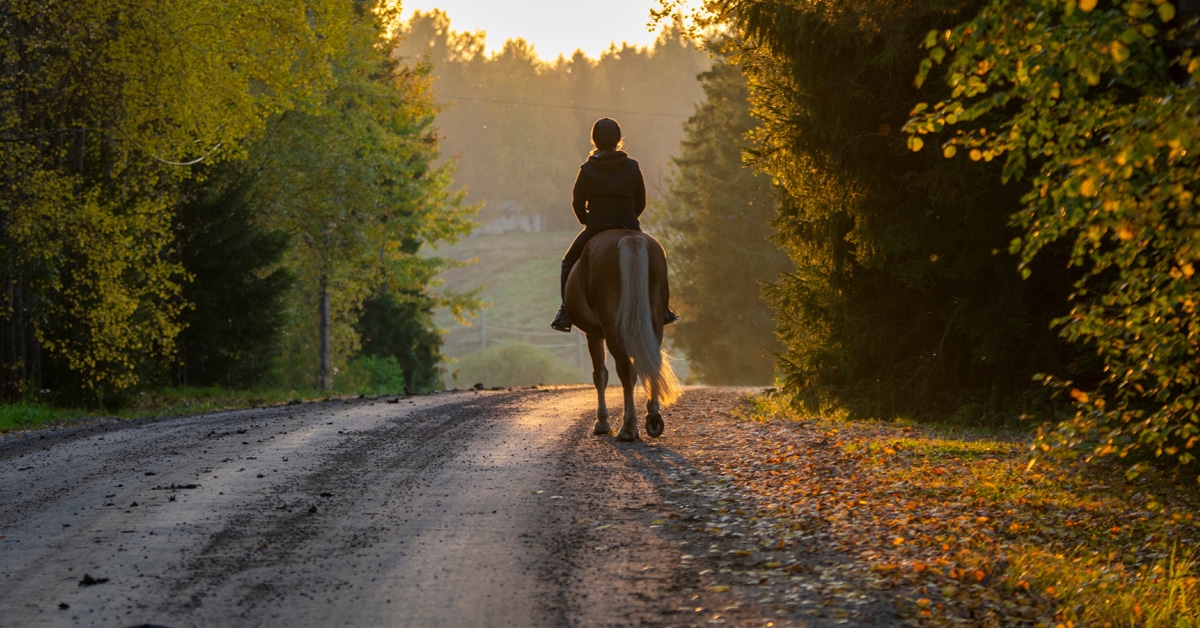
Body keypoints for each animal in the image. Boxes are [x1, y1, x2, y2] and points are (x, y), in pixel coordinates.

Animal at [564, 229, 682, 441]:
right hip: (654, 320)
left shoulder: (592, 333)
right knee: (651, 363)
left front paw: (602, 422)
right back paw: (653, 417)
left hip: (611, 327)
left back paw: (628, 428)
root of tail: (629, 238)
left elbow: (600, 374)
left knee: (625, 369)